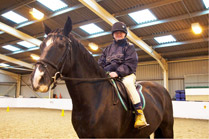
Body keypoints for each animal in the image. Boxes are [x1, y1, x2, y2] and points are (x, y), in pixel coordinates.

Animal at [29, 16, 173, 138]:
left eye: (61, 46)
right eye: (41, 46)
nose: (37, 79)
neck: (95, 100)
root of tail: (161, 89)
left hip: (167, 128)